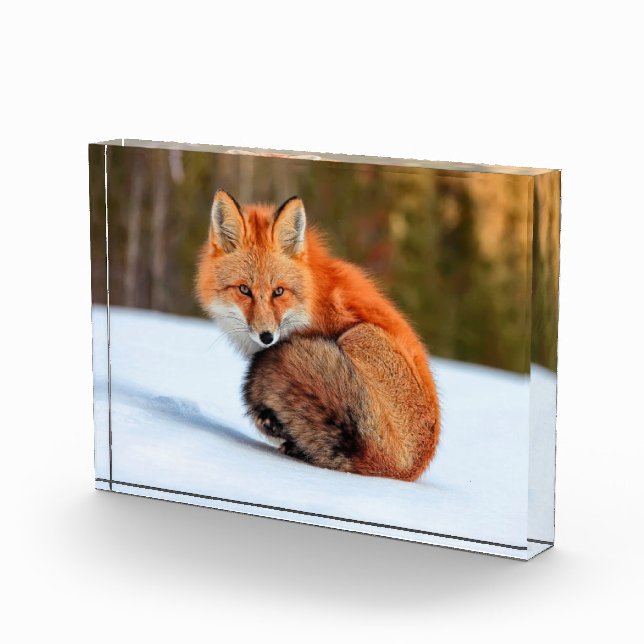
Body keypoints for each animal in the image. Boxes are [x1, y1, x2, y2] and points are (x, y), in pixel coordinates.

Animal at [196, 190, 440, 482]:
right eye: (244, 289)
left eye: (278, 292)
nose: (267, 337)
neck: (311, 301)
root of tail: (403, 469)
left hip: (359, 335)